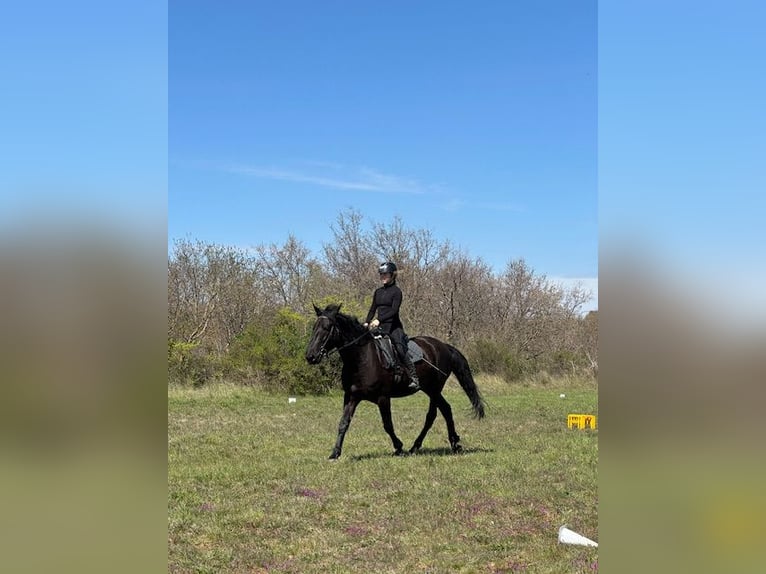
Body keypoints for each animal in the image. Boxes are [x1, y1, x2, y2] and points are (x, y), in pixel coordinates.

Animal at [305, 303, 485, 459]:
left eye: (327, 328)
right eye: (314, 328)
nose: (310, 356)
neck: (361, 358)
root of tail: (444, 346)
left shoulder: (383, 398)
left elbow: (387, 424)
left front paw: (398, 447)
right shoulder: (351, 396)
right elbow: (343, 423)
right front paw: (335, 453)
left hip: (434, 389)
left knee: (433, 414)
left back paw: (421, 446)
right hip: (430, 389)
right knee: (445, 410)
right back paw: (451, 444)